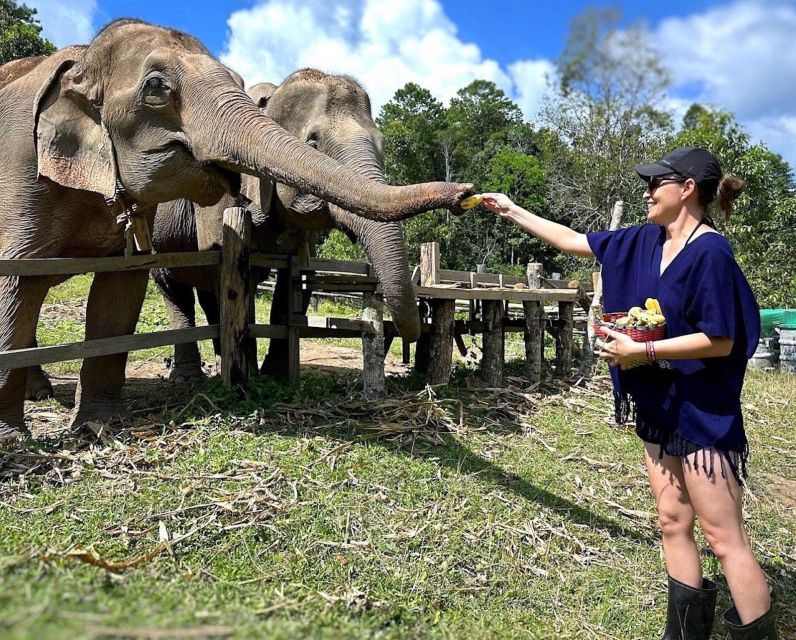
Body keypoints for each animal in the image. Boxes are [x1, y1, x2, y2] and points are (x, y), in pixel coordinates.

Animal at [151, 70, 422, 380]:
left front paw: (275, 374)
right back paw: (189, 375)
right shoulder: (217, 200)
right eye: (314, 145)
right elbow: (225, 271)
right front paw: (248, 375)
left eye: (382, 145)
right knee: (175, 291)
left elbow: (299, 277)